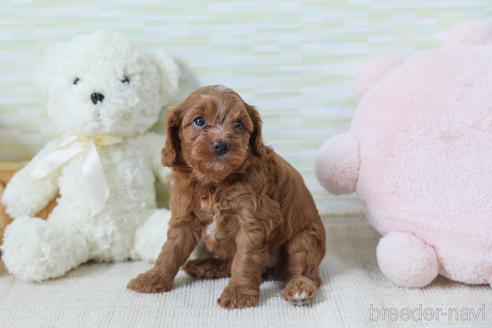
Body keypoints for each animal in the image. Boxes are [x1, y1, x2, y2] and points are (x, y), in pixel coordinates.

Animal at [129, 86, 324, 308]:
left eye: (239, 125)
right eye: (199, 121)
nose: (221, 146)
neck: (214, 182)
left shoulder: (254, 218)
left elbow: (245, 258)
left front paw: (239, 292)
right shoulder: (184, 216)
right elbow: (171, 251)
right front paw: (153, 278)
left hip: (304, 239)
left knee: (305, 270)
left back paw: (299, 288)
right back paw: (206, 266)